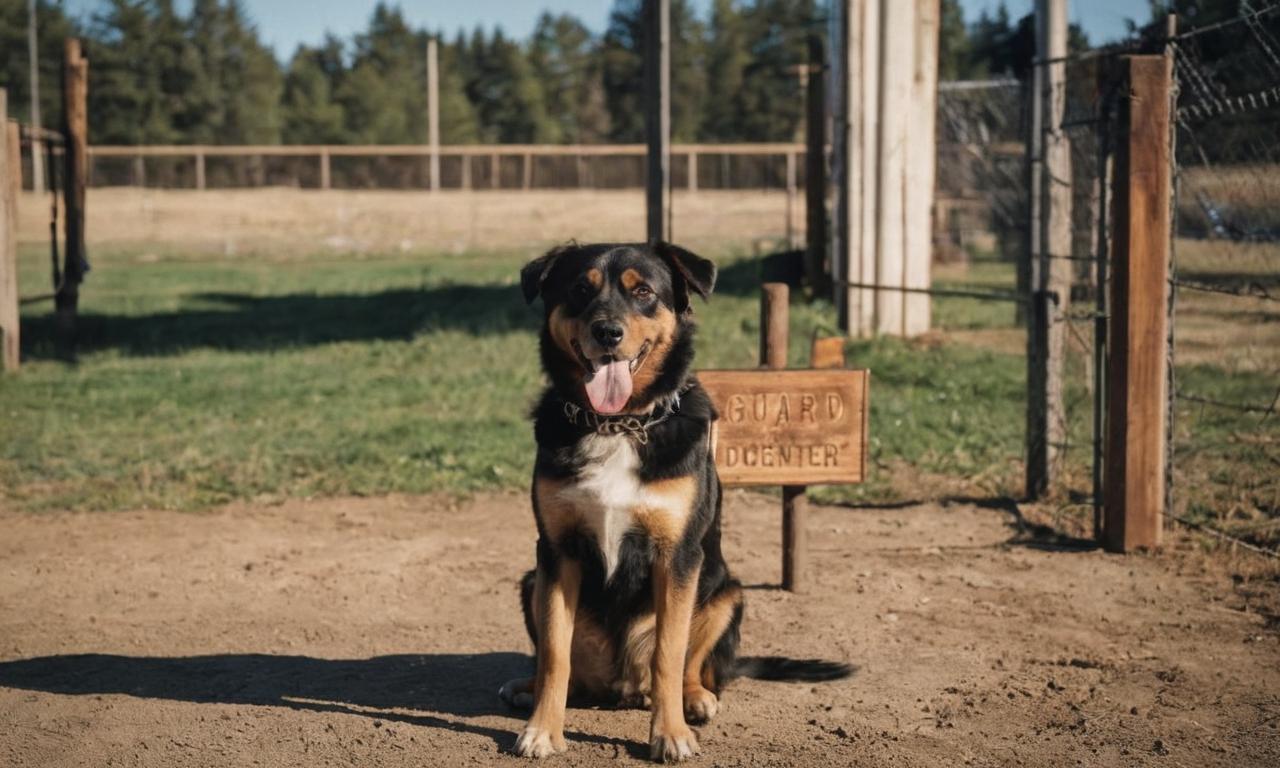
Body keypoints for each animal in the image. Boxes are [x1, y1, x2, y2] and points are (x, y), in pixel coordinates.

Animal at [504, 241, 855, 762]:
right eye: (580, 289)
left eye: (643, 292)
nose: (607, 332)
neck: (617, 423)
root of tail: (622, 686)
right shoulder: (556, 552)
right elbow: (554, 654)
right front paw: (543, 729)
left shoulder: (677, 555)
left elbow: (669, 655)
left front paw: (669, 734)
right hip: (532, 580)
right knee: (568, 669)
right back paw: (527, 688)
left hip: (727, 591)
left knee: (693, 666)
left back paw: (695, 700)